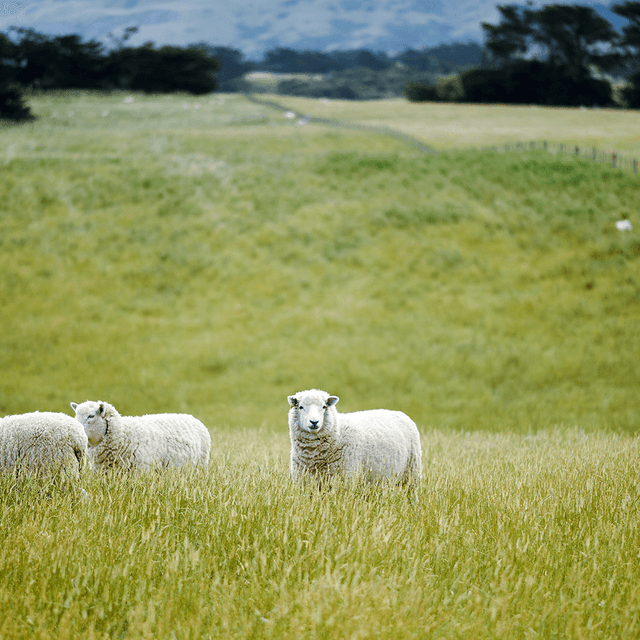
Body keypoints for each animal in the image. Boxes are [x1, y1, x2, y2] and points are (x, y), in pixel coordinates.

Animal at [287, 389, 422, 486]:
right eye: (300, 407)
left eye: (324, 407)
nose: (314, 422)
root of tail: (400, 413)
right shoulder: (304, 481)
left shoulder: (347, 478)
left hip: (412, 471)